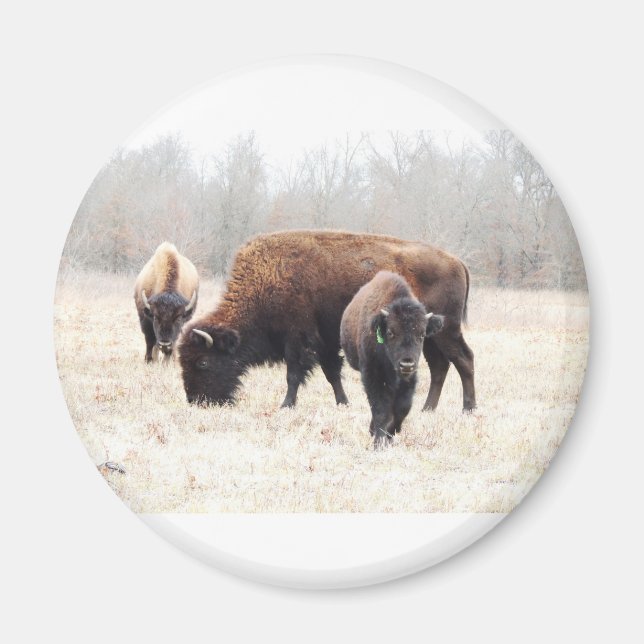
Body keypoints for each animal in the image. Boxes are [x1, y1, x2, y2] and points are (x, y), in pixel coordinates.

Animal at [178, 230, 475, 410]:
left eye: (203, 362)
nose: (196, 400)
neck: (267, 279)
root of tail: (458, 261)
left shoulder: (298, 339)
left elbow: (294, 374)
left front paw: (286, 405)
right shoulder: (325, 341)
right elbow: (332, 373)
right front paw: (343, 402)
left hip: (447, 331)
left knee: (463, 359)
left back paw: (468, 408)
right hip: (427, 336)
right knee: (440, 367)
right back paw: (428, 409)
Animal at [340, 270, 444, 447]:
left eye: (422, 334)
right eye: (390, 332)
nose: (406, 364)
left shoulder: (409, 379)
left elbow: (403, 407)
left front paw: (391, 434)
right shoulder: (372, 375)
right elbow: (380, 408)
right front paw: (379, 442)